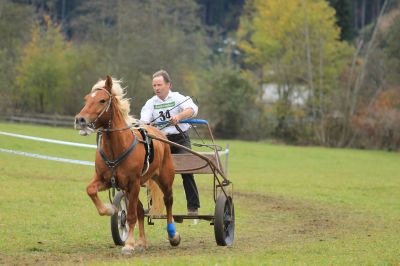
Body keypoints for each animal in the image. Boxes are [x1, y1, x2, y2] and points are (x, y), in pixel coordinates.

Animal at [74, 75, 180, 254]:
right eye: (87, 99)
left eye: (102, 100)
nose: (80, 120)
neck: (117, 148)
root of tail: (159, 133)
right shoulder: (106, 180)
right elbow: (90, 190)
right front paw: (110, 209)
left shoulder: (133, 183)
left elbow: (130, 215)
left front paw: (129, 244)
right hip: (129, 188)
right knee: (140, 209)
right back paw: (142, 242)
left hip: (164, 179)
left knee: (168, 202)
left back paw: (173, 235)